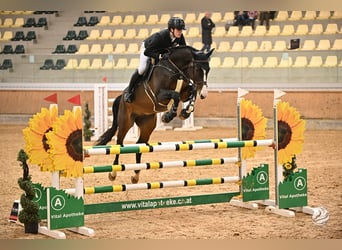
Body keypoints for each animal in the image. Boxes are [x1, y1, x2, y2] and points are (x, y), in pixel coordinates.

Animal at [96, 46, 214, 183]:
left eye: (208, 69)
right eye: (197, 69)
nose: (204, 94)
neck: (174, 69)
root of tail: (121, 98)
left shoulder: (185, 92)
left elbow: (192, 91)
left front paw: (185, 112)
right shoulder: (159, 95)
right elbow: (176, 95)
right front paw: (168, 116)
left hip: (147, 124)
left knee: (139, 145)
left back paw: (136, 175)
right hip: (126, 122)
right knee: (119, 143)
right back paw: (113, 173)